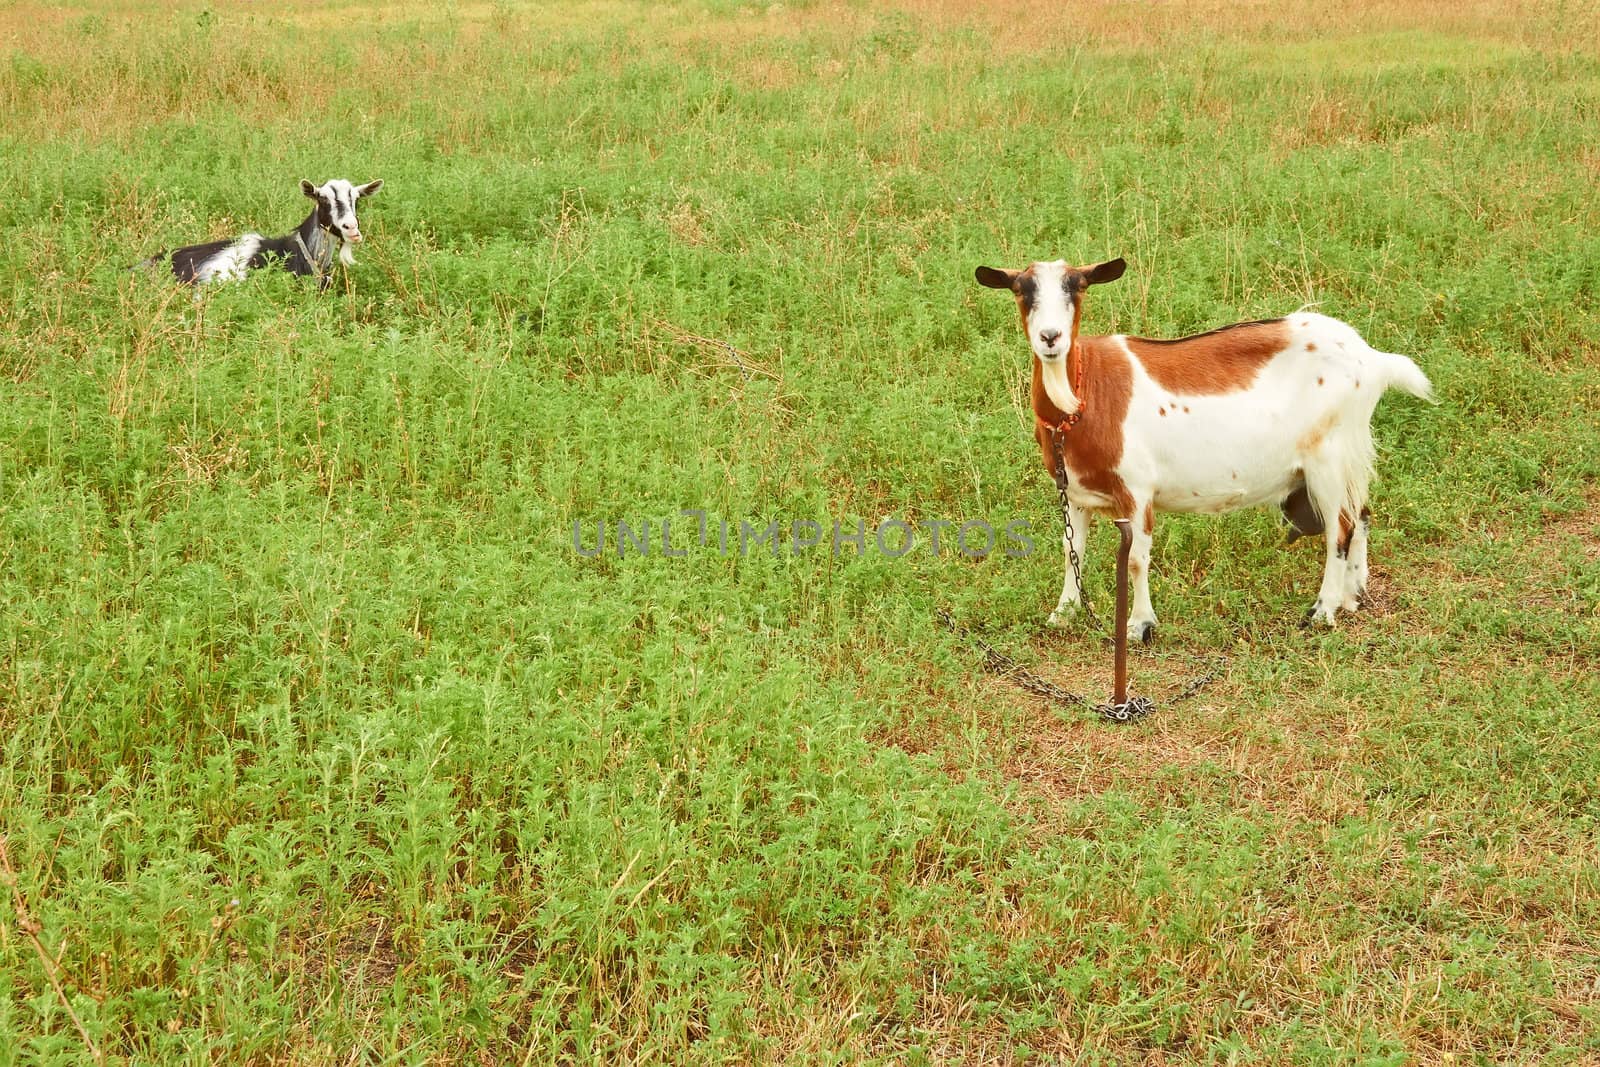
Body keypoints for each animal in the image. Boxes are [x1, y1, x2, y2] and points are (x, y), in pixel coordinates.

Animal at [972, 259, 1440, 643]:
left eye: (1078, 286)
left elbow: (1137, 560)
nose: (1050, 337)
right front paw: (1063, 614)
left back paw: (1322, 612)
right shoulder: (1074, 491)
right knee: (1361, 514)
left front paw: (1140, 626)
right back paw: (1352, 596)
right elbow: (1072, 554)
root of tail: (1373, 359)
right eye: (1022, 290)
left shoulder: (1137, 490)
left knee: (1338, 529)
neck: (1085, 395)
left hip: (1326, 456)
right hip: (1349, 453)